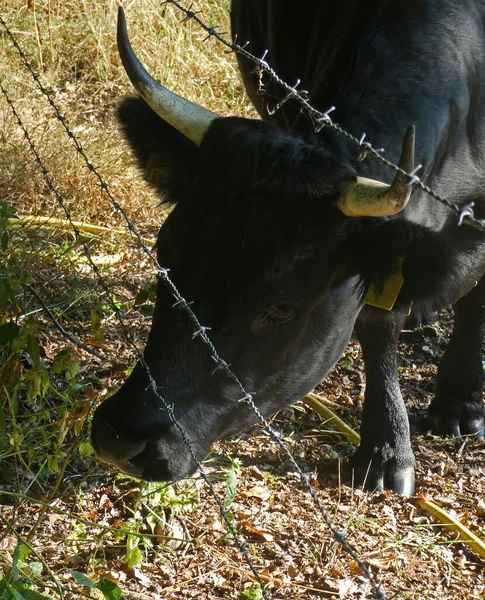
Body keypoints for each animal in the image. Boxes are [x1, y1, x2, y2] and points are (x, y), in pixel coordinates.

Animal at [92, 2, 484, 494]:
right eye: (165, 265)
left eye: (281, 308)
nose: (120, 437)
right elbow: (377, 322)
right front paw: (386, 449)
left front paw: (460, 405)